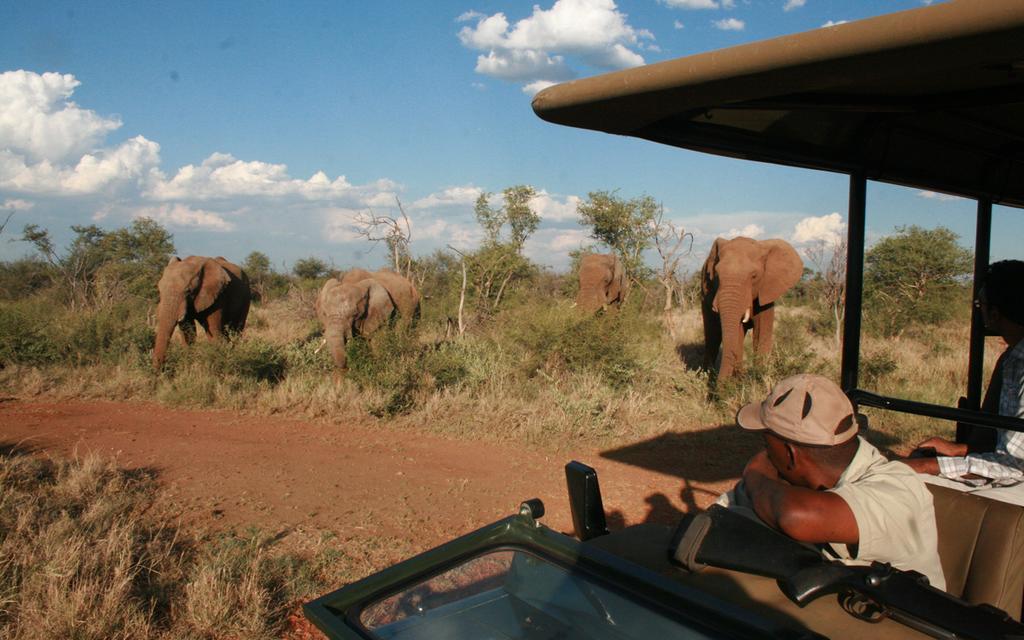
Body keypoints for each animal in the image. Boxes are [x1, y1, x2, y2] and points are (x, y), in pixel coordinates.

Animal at [700, 238, 802, 378]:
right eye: (717, 276)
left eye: (754, 276)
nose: (721, 383)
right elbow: (737, 333)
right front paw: (738, 379)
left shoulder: (766, 292)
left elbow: (761, 333)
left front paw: (759, 376)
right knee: (712, 337)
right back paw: (704, 376)